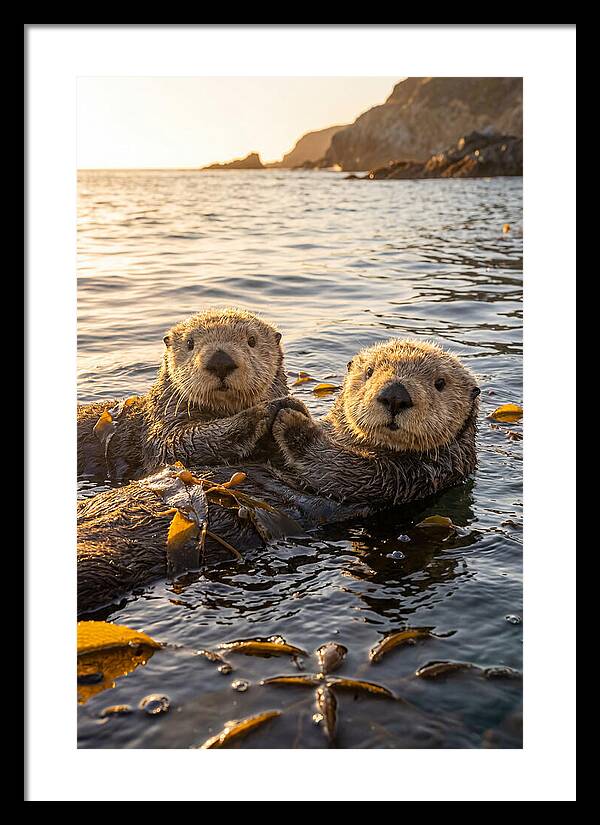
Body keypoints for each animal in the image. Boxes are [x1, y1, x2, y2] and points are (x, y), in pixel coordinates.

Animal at [77, 308, 302, 480]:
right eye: (190, 343)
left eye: (252, 340)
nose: (220, 361)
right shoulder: (162, 427)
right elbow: (177, 443)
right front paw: (268, 410)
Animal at [77, 339, 480, 615]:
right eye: (369, 374)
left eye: (440, 383)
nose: (395, 395)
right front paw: (276, 408)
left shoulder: (409, 478)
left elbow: (338, 467)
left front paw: (290, 418)